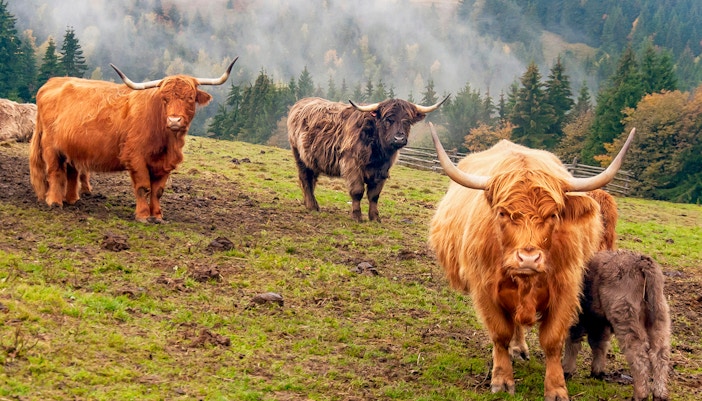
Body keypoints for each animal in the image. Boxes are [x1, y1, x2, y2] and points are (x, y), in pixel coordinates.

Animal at [29, 58, 237, 222]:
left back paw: (72, 200)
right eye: (165, 98)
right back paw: (55, 202)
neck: (166, 140)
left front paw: (158, 216)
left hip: (72, 148)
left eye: (190, 97)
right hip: (50, 146)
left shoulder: (164, 164)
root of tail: (52, 82)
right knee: (55, 171)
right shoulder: (136, 158)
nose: (174, 120)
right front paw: (143, 216)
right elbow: (144, 187)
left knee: (72, 172)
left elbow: (158, 191)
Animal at [287, 96, 447, 222]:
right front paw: (357, 216)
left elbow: (374, 195)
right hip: (299, 156)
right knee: (305, 179)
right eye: (388, 119)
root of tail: (301, 102)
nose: (399, 138)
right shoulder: (352, 166)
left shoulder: (382, 171)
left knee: (311, 180)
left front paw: (375, 217)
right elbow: (357, 191)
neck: (378, 152)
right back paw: (312, 206)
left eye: (407, 121)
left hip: (312, 160)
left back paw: (311, 203)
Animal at [428, 122, 636, 400]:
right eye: (502, 213)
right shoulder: (485, 289)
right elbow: (500, 334)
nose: (528, 258)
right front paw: (502, 379)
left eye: (553, 214)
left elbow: (552, 340)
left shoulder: (565, 289)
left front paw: (556, 388)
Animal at [563, 250, 671, 401]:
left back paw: (640, 395)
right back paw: (659, 394)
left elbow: (573, 343)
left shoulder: (578, 318)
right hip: (659, 319)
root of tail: (641, 261)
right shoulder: (599, 322)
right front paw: (597, 372)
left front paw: (566, 370)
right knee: (660, 354)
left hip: (626, 319)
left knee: (639, 355)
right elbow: (599, 344)